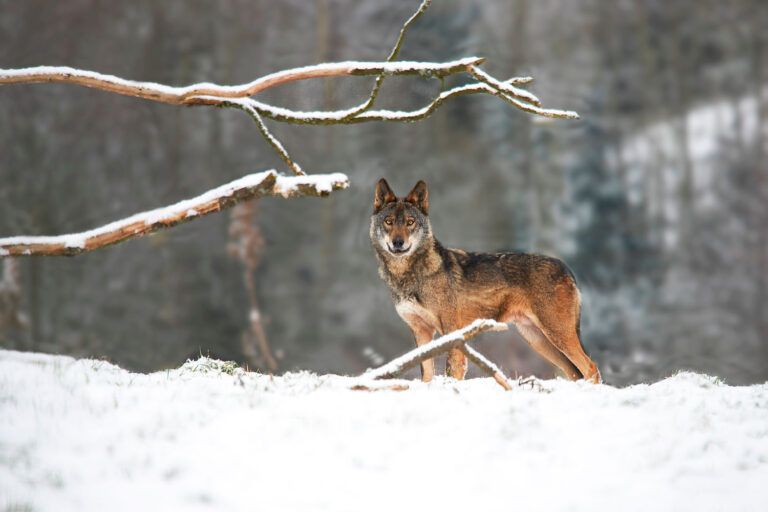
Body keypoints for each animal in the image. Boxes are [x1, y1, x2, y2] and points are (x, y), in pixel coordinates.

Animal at [370, 178, 601, 383]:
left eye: (410, 222)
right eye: (389, 222)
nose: (398, 243)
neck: (409, 275)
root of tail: (566, 269)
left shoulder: (452, 333)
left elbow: (452, 372)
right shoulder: (421, 332)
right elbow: (426, 375)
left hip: (556, 335)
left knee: (591, 367)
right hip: (539, 340)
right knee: (574, 372)